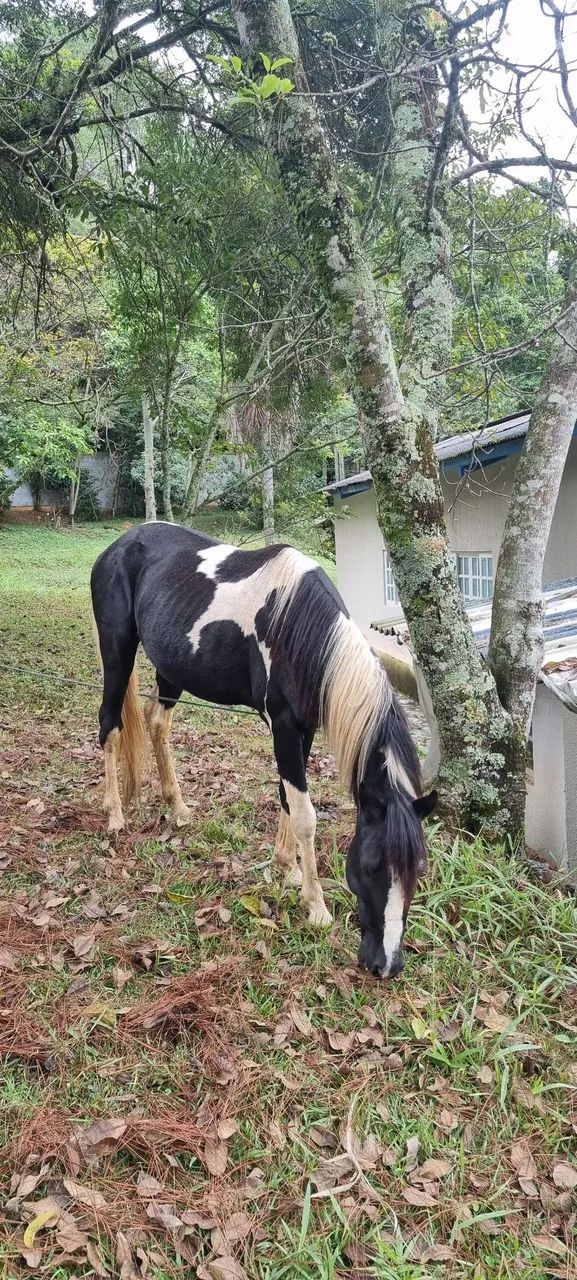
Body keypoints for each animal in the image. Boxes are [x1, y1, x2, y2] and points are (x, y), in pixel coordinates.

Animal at [91, 521, 437, 978]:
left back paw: (178, 808)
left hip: (170, 670)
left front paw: (286, 869)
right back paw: (114, 815)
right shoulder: (284, 726)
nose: (386, 965)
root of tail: (120, 545)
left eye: (418, 870)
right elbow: (304, 813)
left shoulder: (303, 730)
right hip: (117, 653)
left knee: (156, 722)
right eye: (371, 865)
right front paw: (315, 906)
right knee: (110, 728)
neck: (299, 628)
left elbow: (287, 798)